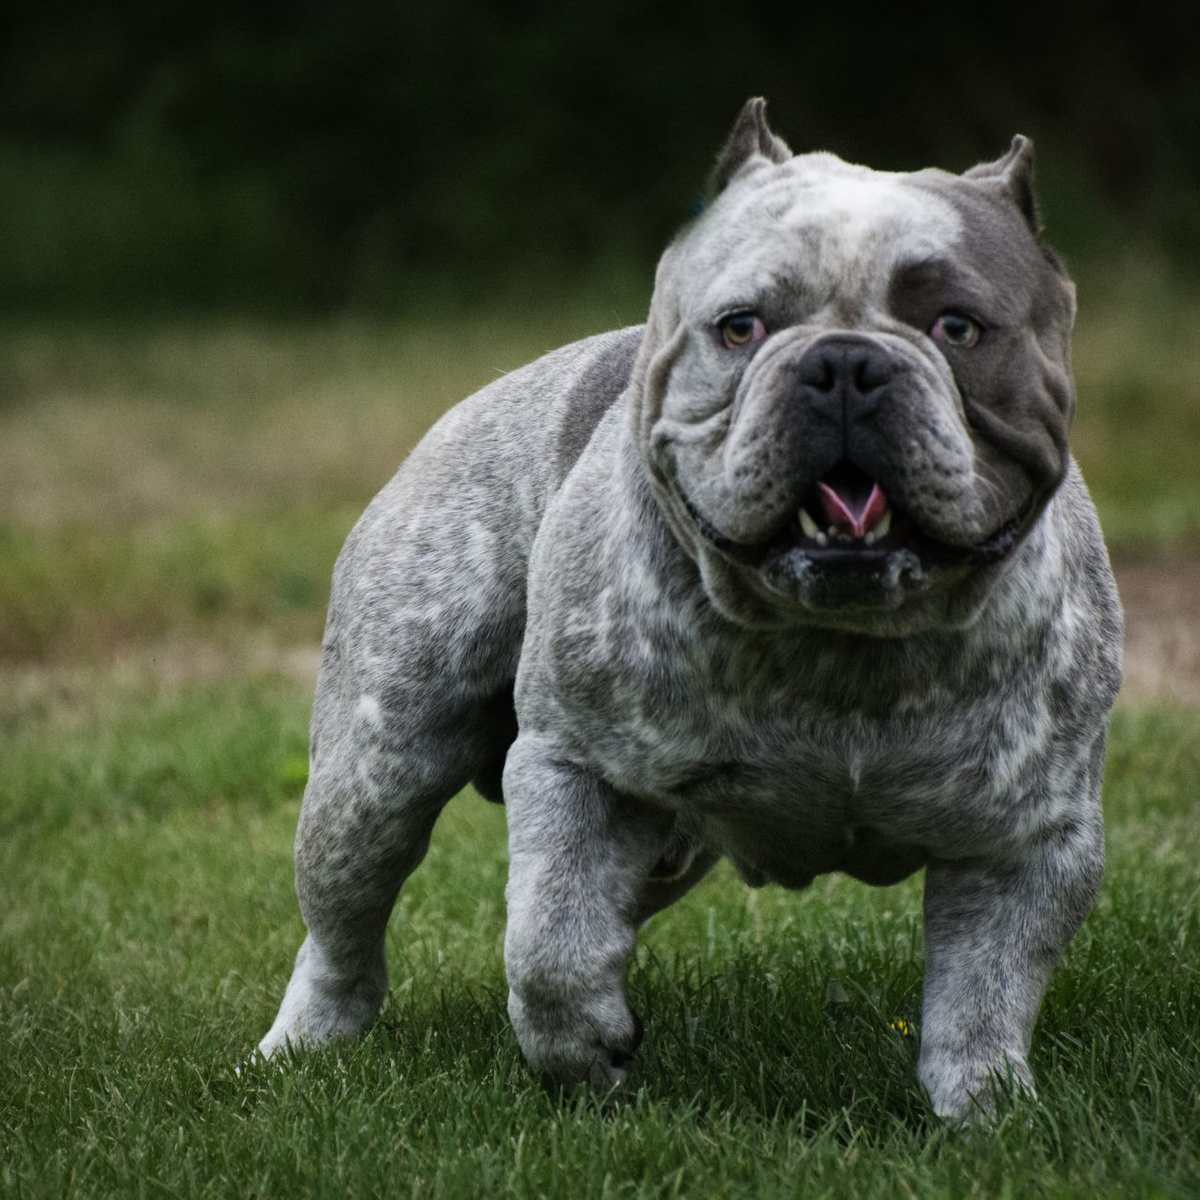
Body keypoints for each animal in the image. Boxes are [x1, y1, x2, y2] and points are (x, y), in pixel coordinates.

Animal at [255, 98, 1123, 1118]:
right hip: (375, 775)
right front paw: (584, 1053)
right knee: (346, 933)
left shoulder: (1030, 839)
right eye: (741, 327)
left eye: (958, 326)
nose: (844, 363)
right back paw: (300, 1047)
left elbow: (984, 996)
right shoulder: (573, 768)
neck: (842, 643)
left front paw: (984, 1110)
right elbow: (547, 948)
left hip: (660, 848)